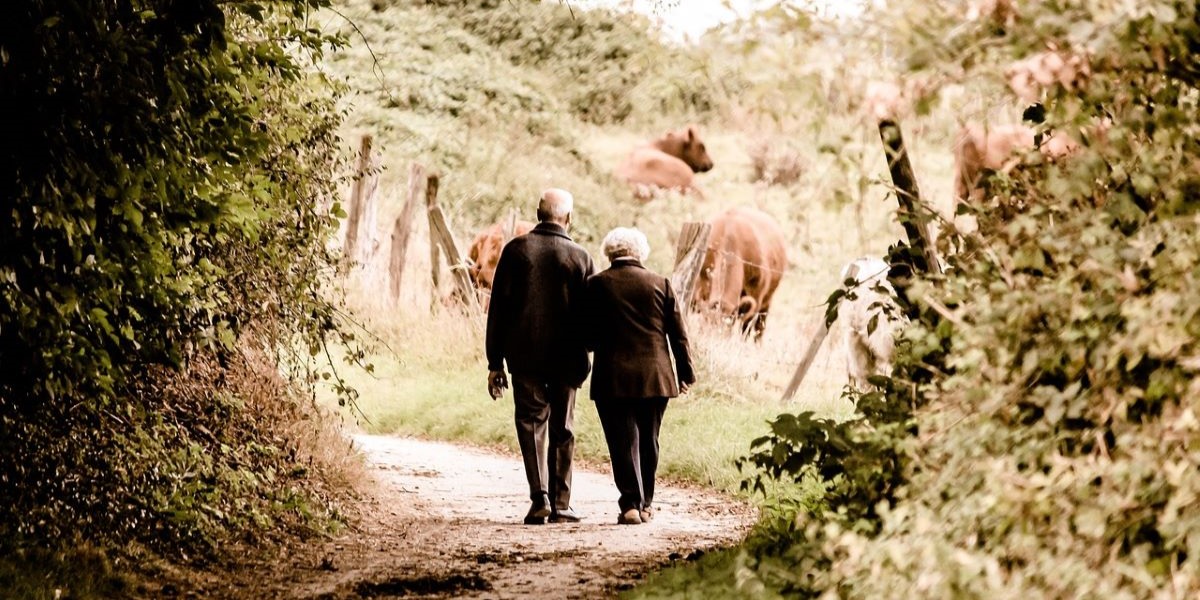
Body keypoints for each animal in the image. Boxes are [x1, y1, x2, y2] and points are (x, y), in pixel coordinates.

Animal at [696, 206, 787, 340]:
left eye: (726, 326)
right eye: (707, 324)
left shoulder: (756, 297)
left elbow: (746, 328)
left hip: (767, 302)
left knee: (759, 328)